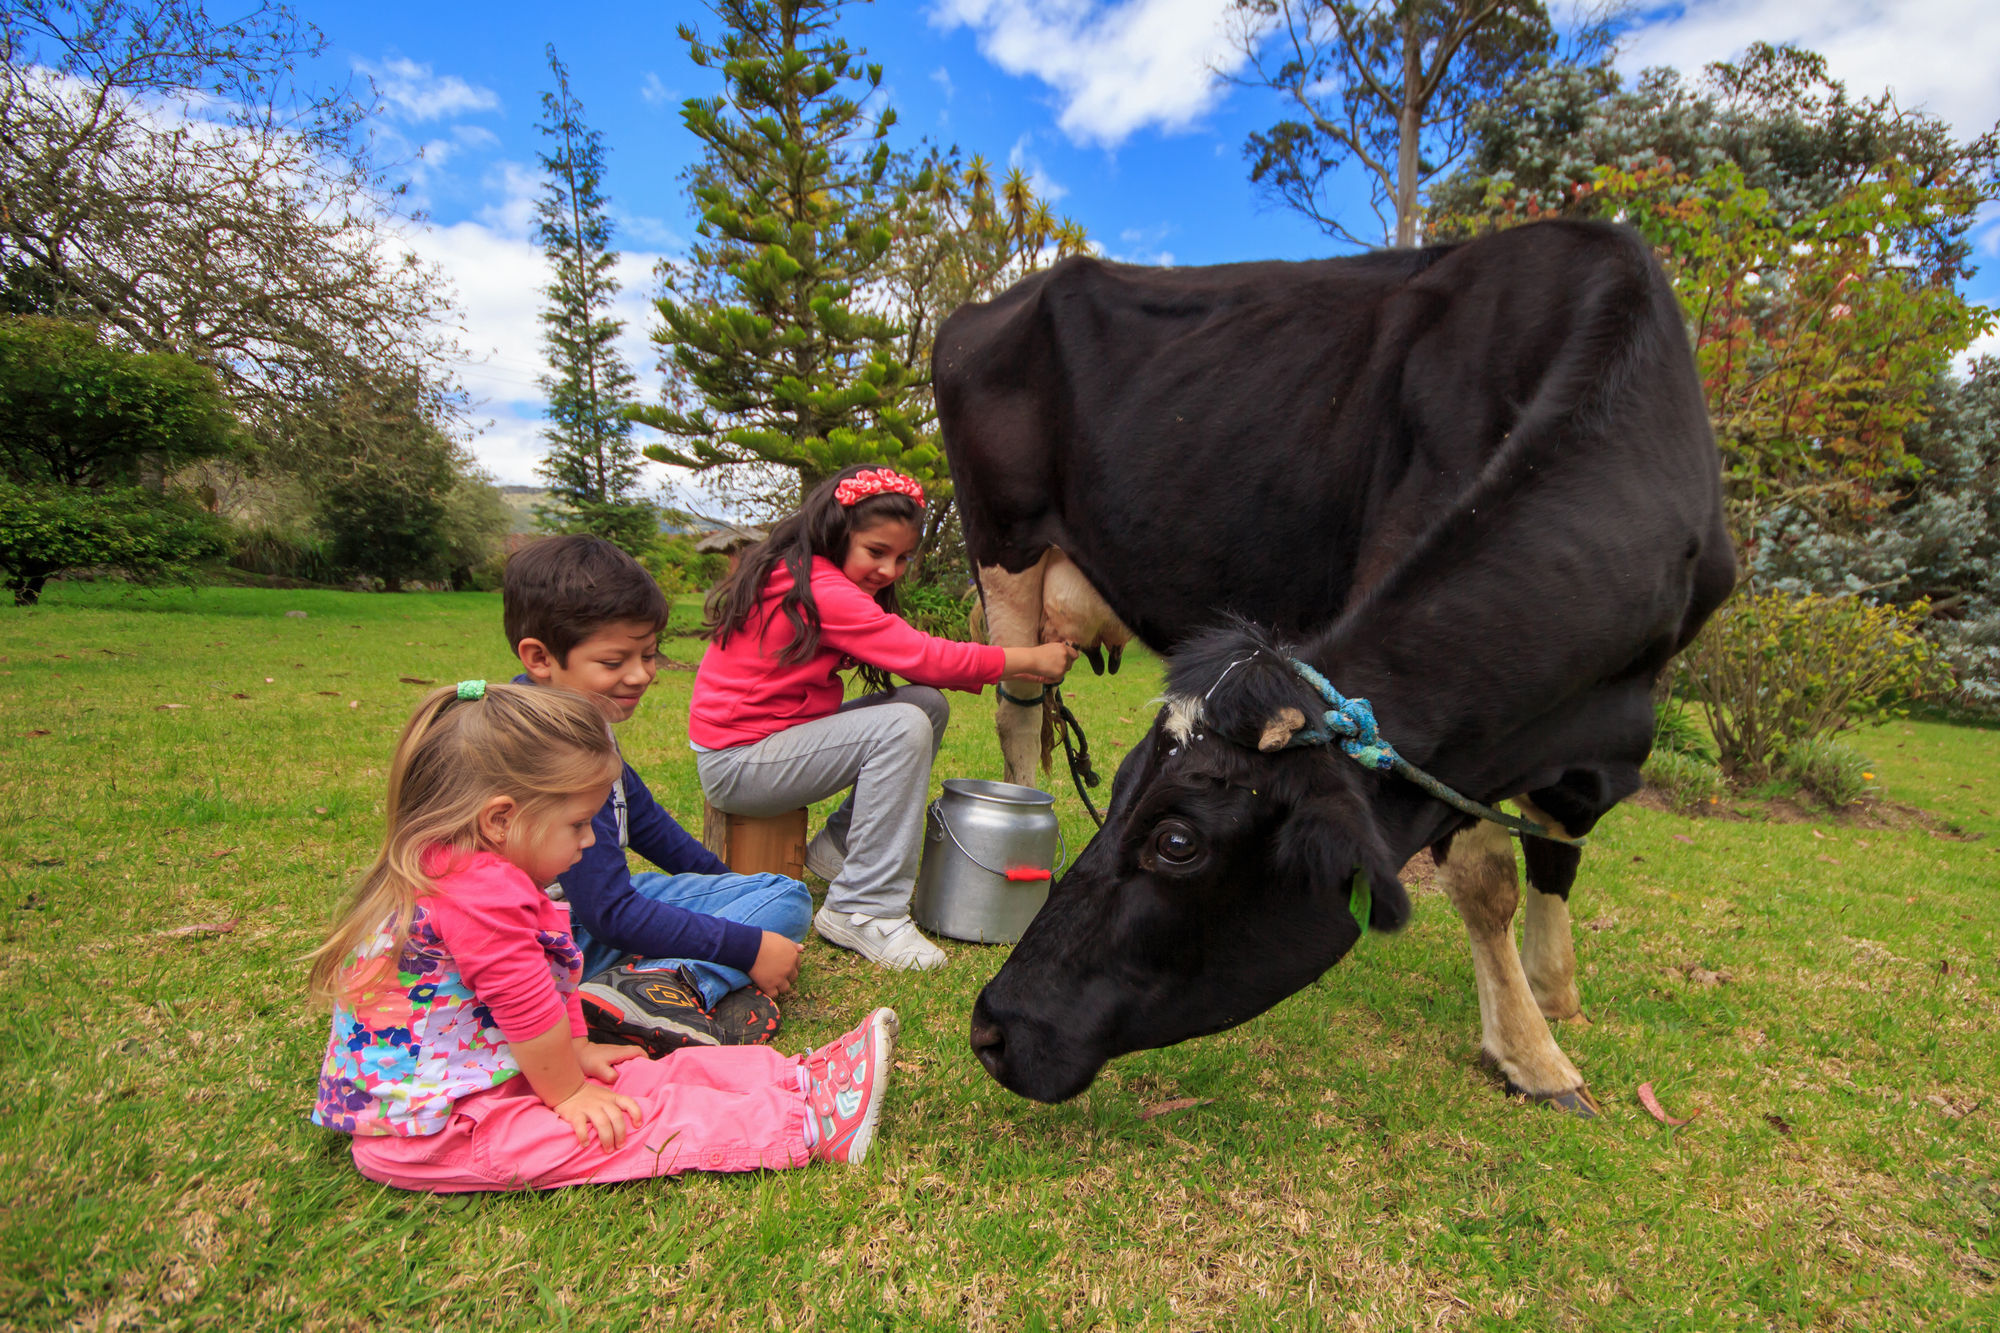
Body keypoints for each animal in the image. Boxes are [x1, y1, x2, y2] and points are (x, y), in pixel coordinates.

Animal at [936, 220, 1736, 1112]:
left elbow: (1561, 843)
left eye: (1177, 841)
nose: (993, 1025)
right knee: (1016, 706)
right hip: (1005, 545)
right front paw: (1531, 1053)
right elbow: (1487, 874)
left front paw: (1551, 989)